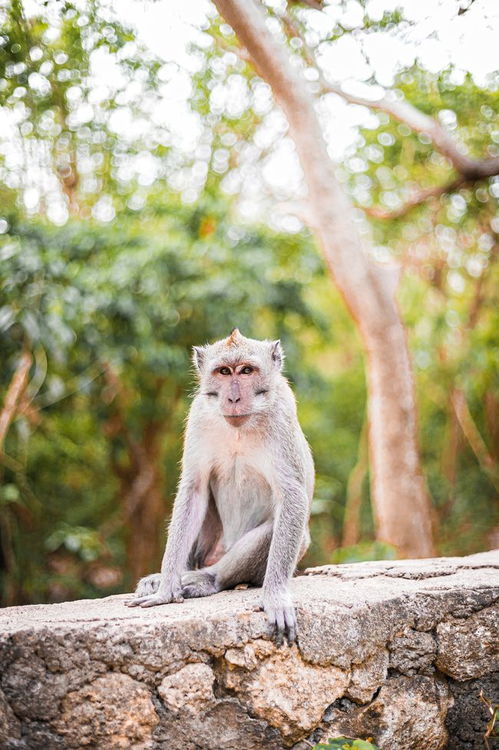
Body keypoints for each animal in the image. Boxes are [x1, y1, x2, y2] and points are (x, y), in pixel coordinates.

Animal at [126, 330, 312, 648]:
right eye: (224, 372)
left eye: (247, 371)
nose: (233, 397)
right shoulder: (199, 415)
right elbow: (194, 490)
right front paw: (165, 588)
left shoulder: (281, 415)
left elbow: (292, 495)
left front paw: (275, 596)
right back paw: (174, 575)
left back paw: (208, 579)